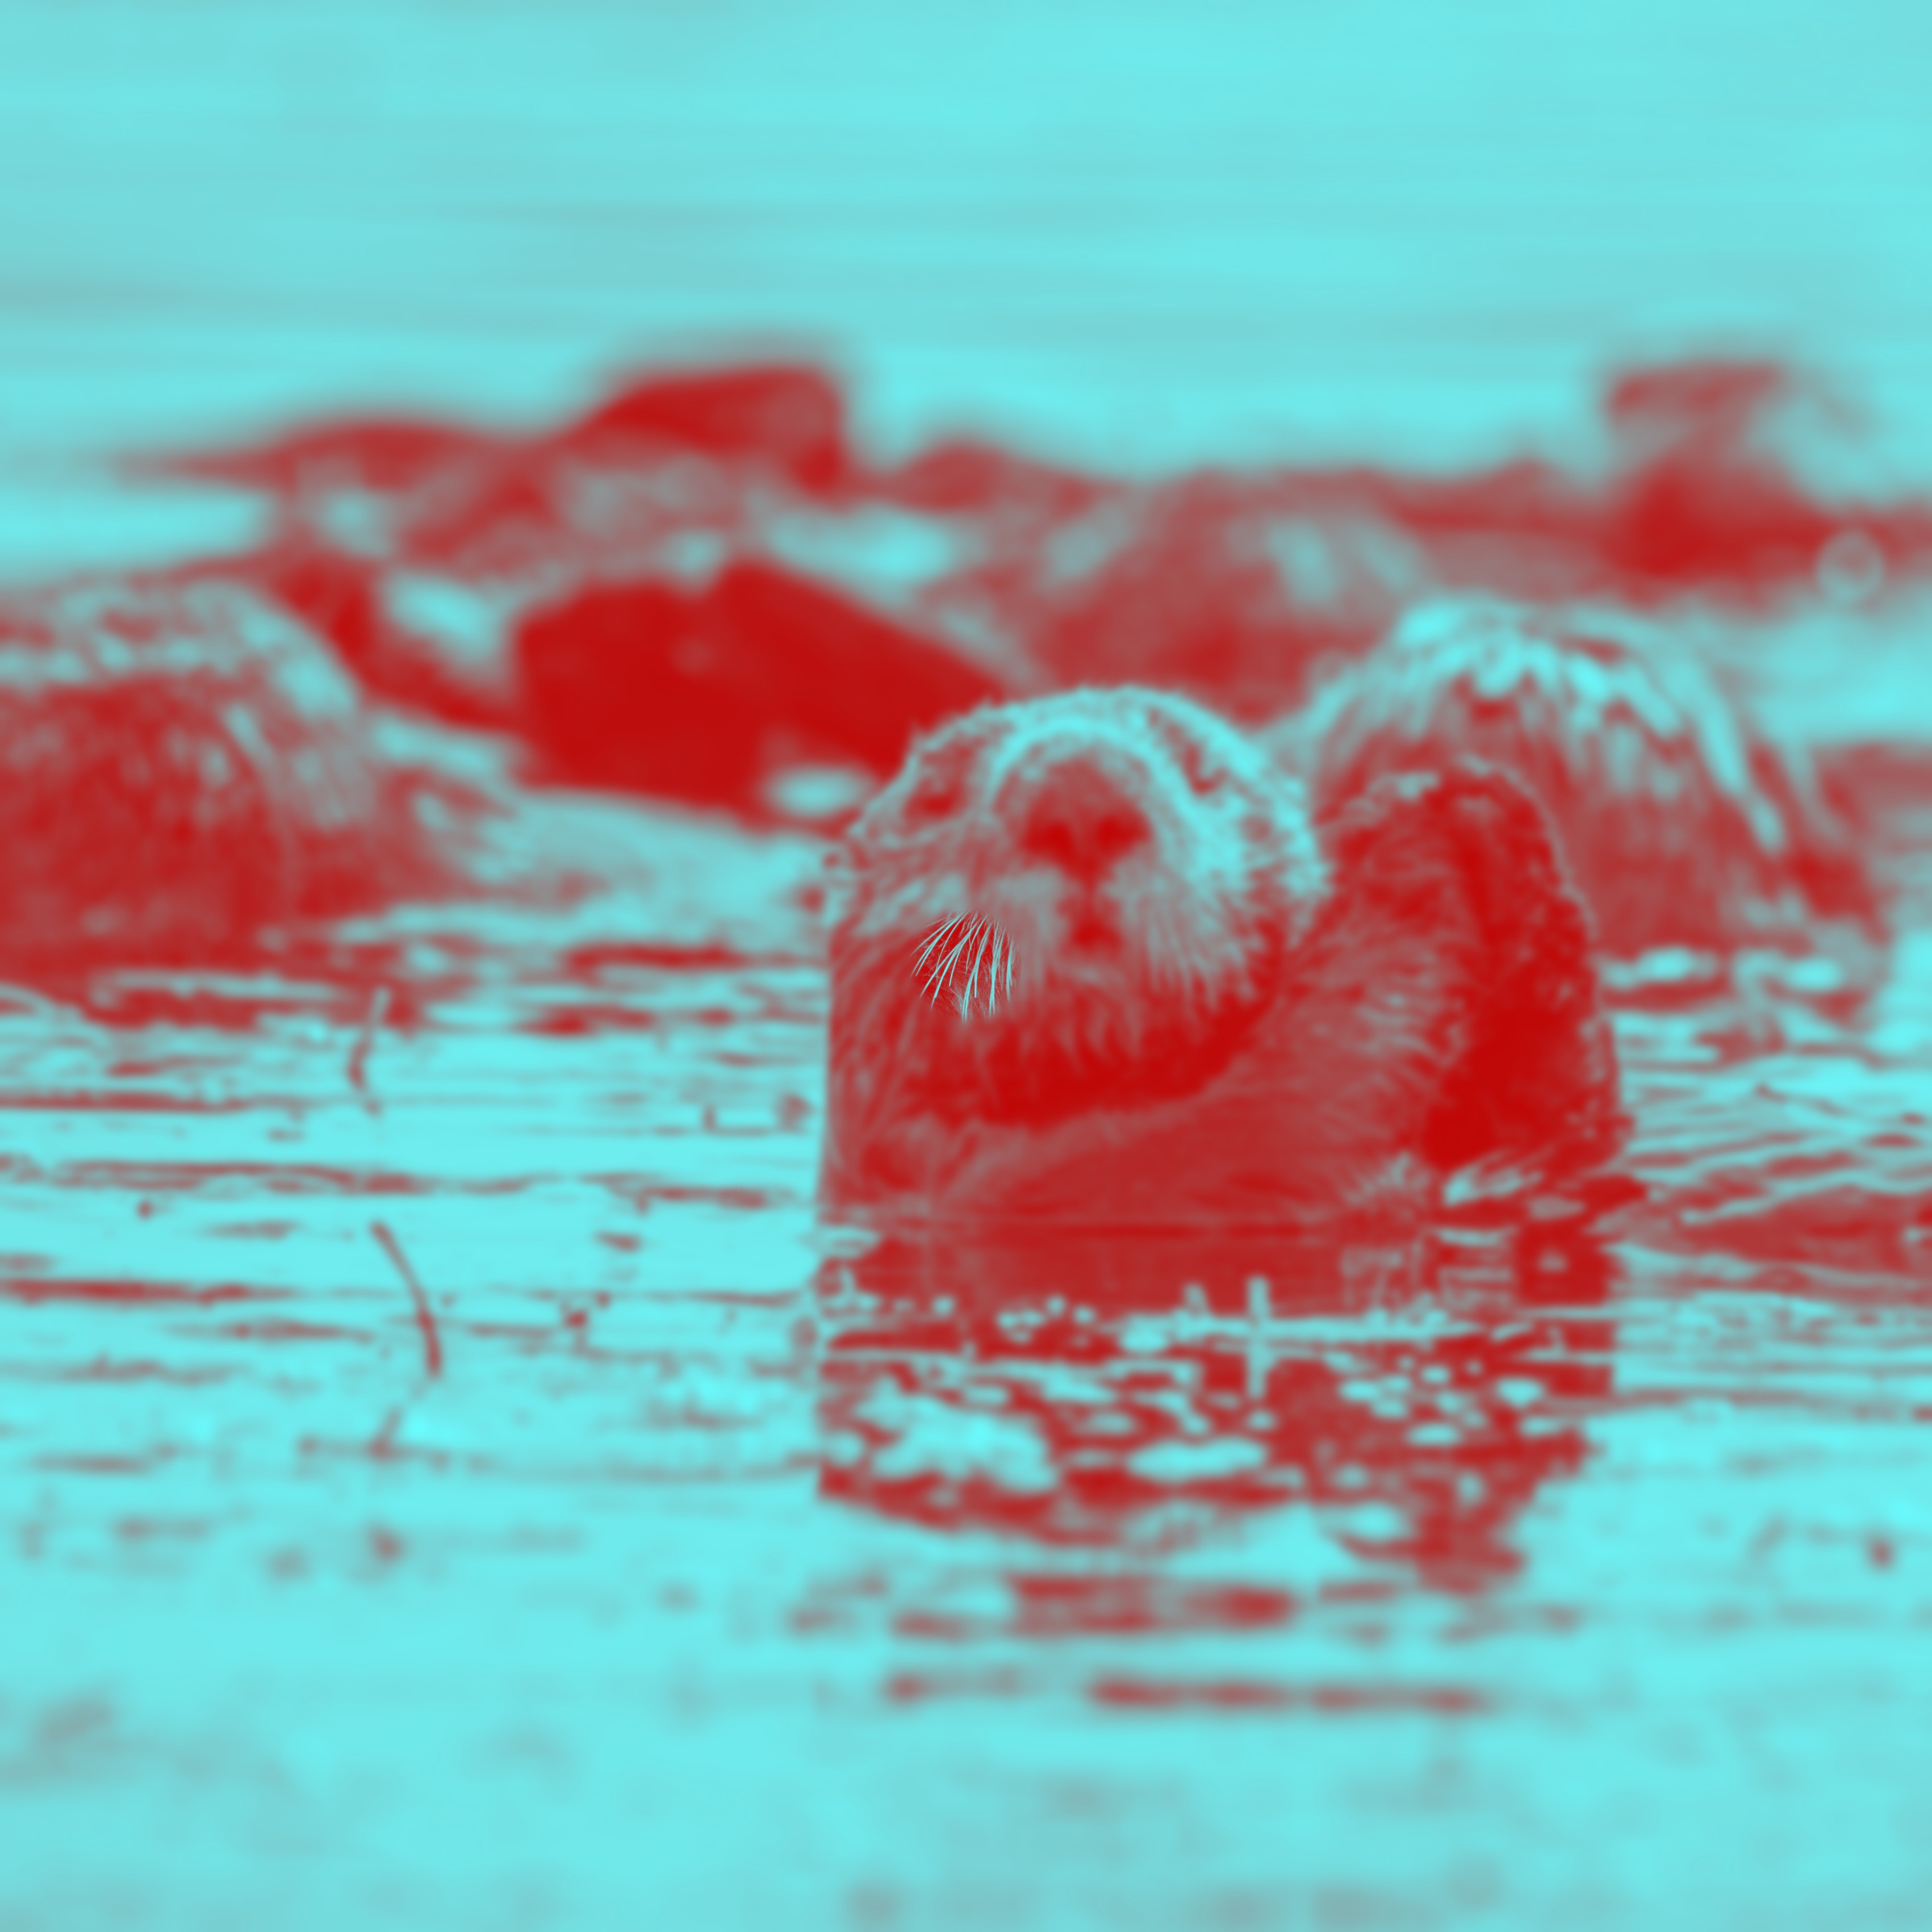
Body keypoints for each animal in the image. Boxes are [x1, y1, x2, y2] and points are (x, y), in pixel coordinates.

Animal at [821, 686, 1621, 1231]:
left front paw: (1497, 815)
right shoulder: (1099, 1179)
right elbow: (1284, 1104)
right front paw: (1403, 838)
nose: (1081, 797)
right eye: (937, 796)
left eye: (1203, 774)